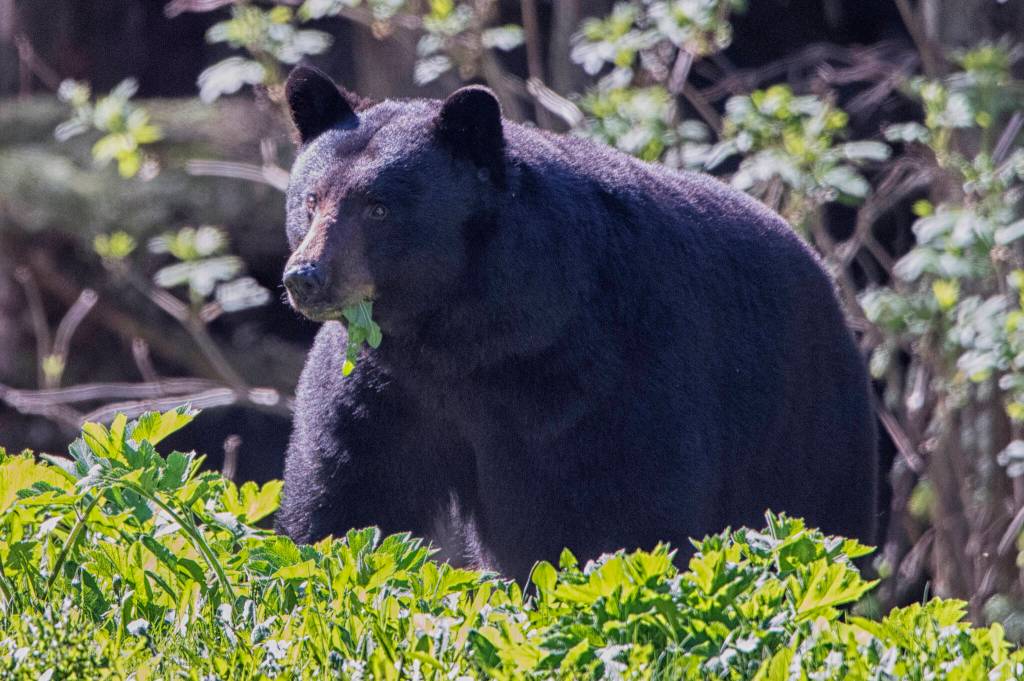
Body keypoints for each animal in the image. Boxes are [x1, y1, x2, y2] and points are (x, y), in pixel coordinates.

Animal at [276, 65, 878, 583]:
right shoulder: (380, 388)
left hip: (805, 426)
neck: (462, 334)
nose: (305, 276)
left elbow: (626, 514)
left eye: (378, 207)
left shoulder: (607, 376)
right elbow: (346, 496)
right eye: (311, 200)